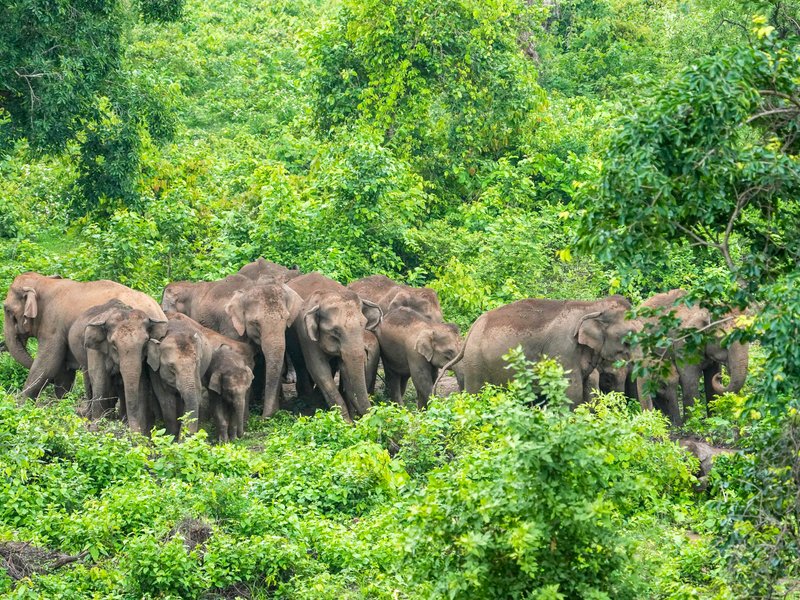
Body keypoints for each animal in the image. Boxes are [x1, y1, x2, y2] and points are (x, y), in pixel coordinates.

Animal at [3, 272, 165, 399]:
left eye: (7, 309)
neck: (44, 281)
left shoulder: (53, 325)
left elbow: (48, 364)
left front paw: (21, 403)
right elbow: (63, 373)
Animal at [66, 300, 168, 434]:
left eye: (145, 343)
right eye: (114, 344)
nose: (134, 432)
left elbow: (140, 384)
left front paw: (140, 433)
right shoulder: (95, 349)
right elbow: (99, 379)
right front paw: (94, 429)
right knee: (88, 379)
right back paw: (89, 416)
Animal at [286, 272, 383, 422]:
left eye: (363, 326)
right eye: (335, 332)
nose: (359, 419)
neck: (327, 295)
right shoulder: (307, 338)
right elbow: (319, 370)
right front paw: (346, 422)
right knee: (299, 362)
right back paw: (306, 400)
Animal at [438, 296, 642, 407]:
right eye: (628, 339)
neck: (593, 306)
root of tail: (472, 328)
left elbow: (587, 391)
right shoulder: (562, 349)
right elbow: (571, 393)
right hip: (476, 362)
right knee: (476, 395)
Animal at [636, 290, 749, 426]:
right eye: (724, 339)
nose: (720, 377)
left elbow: (711, 375)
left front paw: (713, 420)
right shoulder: (684, 344)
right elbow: (689, 380)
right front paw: (692, 423)